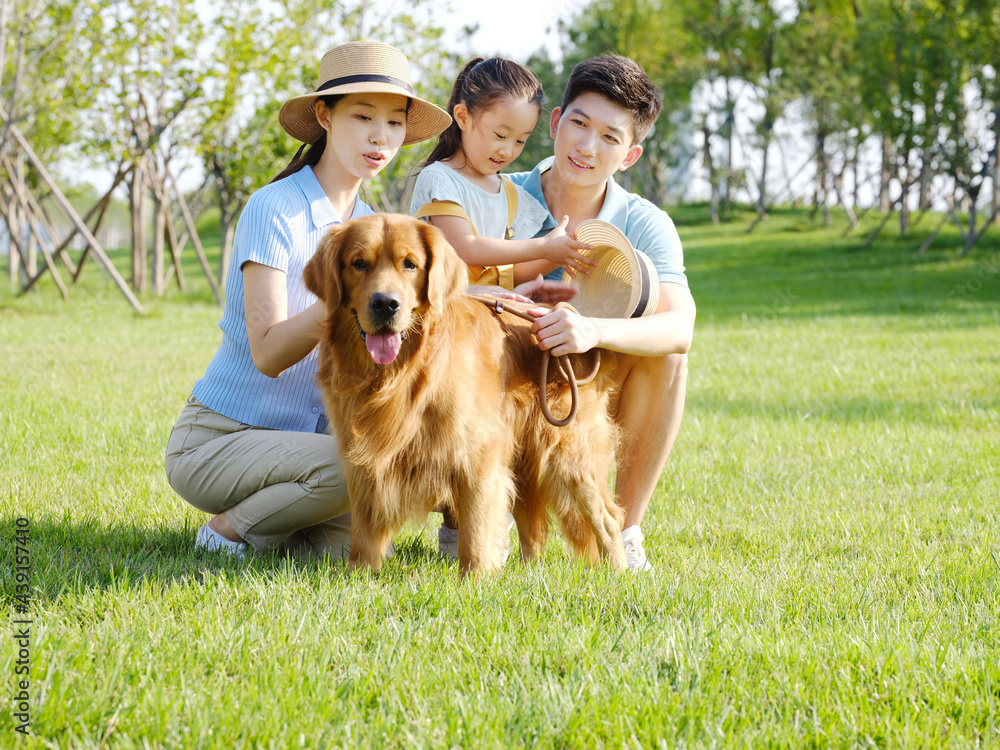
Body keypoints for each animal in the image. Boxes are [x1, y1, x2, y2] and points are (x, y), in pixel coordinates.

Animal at [304, 214, 624, 580]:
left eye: (410, 264)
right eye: (359, 263)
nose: (385, 304)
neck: (401, 374)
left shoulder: (477, 454)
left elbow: (475, 529)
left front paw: (476, 579)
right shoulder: (364, 456)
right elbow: (365, 528)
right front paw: (360, 574)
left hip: (569, 455)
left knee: (608, 519)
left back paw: (621, 573)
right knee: (535, 530)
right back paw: (529, 573)